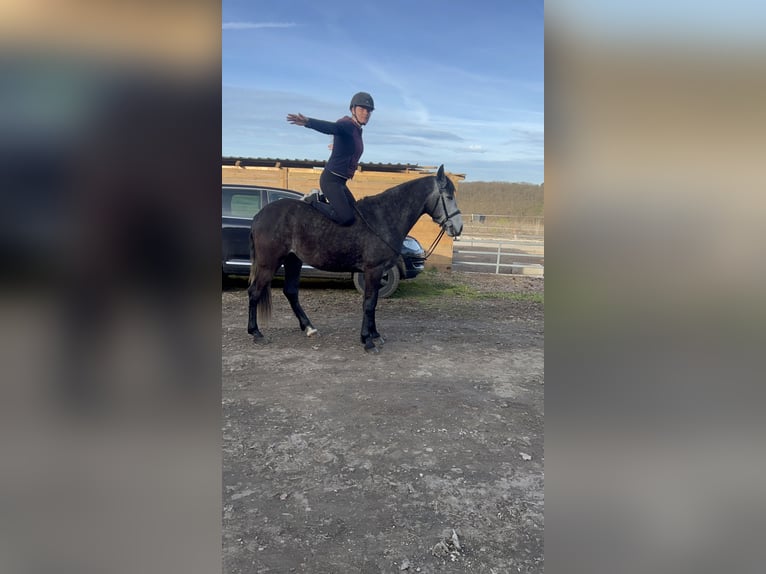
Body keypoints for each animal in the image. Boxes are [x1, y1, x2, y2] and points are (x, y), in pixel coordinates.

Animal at [247, 164, 463, 353]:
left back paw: (308, 327)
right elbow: (369, 303)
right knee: (254, 292)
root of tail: (259, 215)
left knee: (291, 292)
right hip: (269, 263)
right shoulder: (373, 270)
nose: (458, 228)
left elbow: (373, 302)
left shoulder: (378, 272)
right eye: (448, 196)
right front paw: (367, 341)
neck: (383, 217)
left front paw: (374, 335)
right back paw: (256, 333)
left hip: (293, 260)